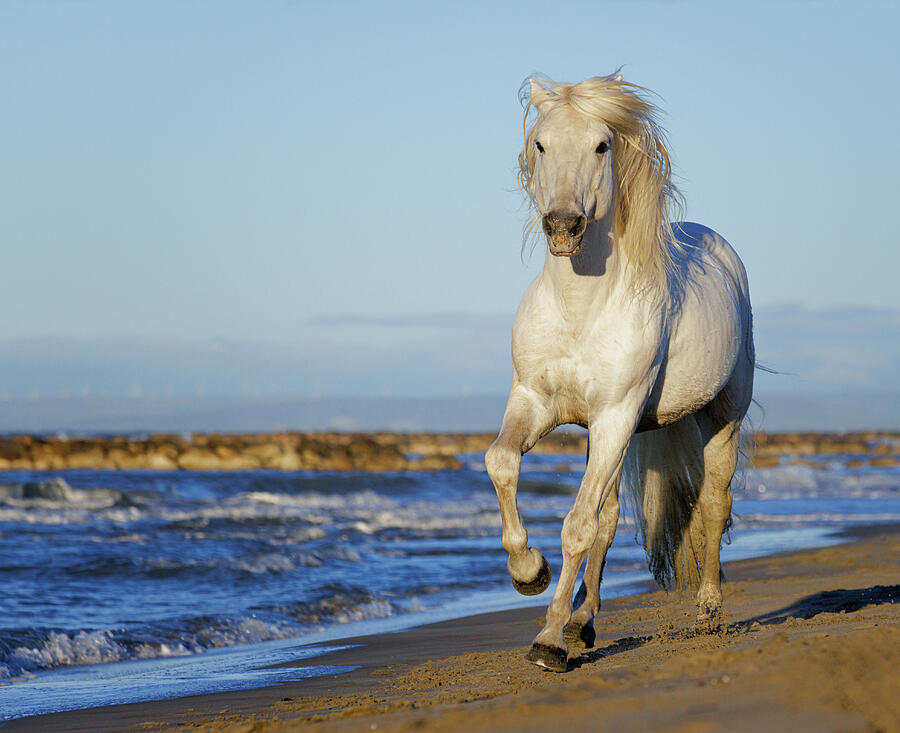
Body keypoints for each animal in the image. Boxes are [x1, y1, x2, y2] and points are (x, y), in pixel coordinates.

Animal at [486, 73, 752, 668]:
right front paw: (529, 572)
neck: (580, 309)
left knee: (713, 502)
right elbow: (502, 463)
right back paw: (583, 620)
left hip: (720, 416)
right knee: (609, 517)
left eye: (602, 146)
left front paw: (547, 642)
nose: (563, 226)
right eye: (540, 144)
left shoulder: (615, 415)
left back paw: (707, 611)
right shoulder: (536, 401)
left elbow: (578, 525)